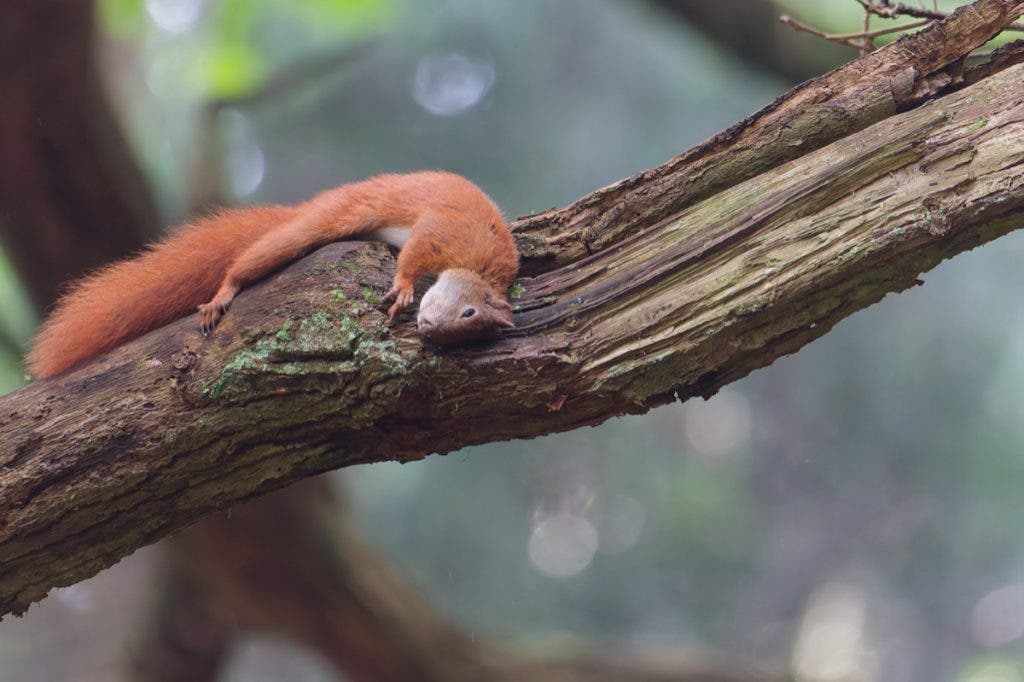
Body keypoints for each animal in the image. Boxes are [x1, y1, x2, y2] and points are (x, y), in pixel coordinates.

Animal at [27, 171, 519, 378]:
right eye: (468, 311)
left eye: (473, 326)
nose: (432, 328)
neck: (480, 265)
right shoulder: (443, 230)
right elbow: (413, 257)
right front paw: (401, 288)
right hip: (323, 222)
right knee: (250, 260)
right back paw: (222, 294)